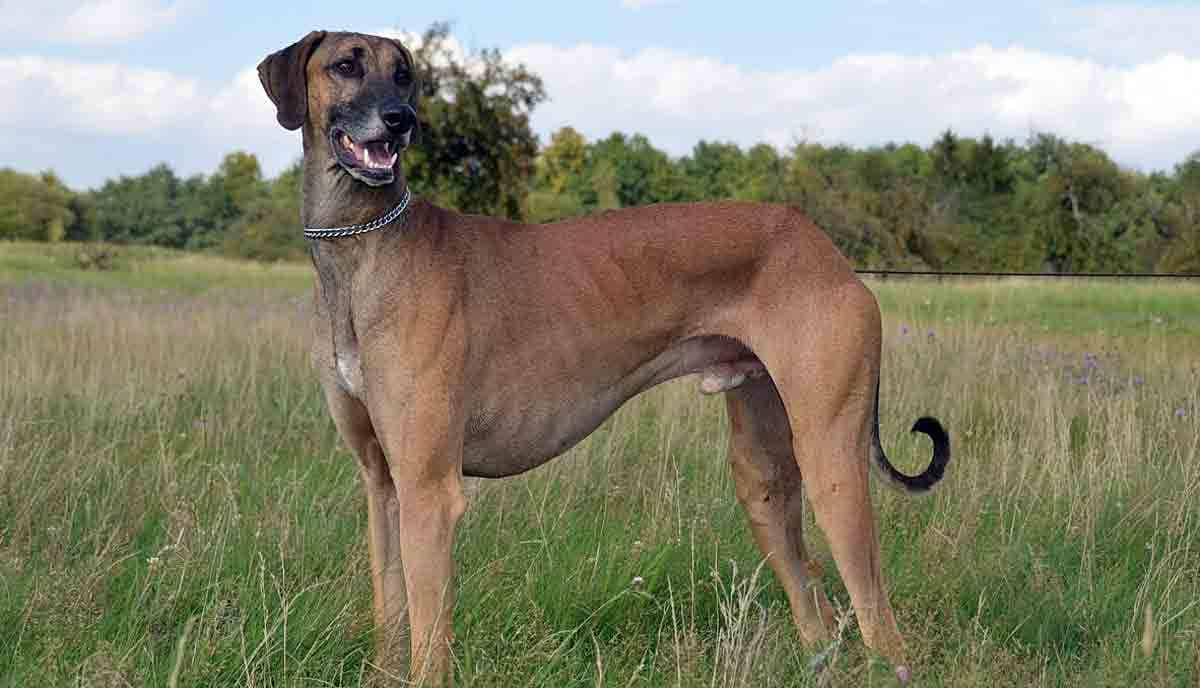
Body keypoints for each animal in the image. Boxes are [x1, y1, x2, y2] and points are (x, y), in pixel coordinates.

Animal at [258, 30, 950, 681]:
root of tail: (824, 247)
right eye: (346, 65)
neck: (367, 248)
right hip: (764, 478)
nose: (400, 119)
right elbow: (390, 615)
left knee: (880, 624)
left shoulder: (429, 491)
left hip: (833, 464)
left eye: (403, 74)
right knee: (821, 614)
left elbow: (429, 643)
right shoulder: (382, 483)